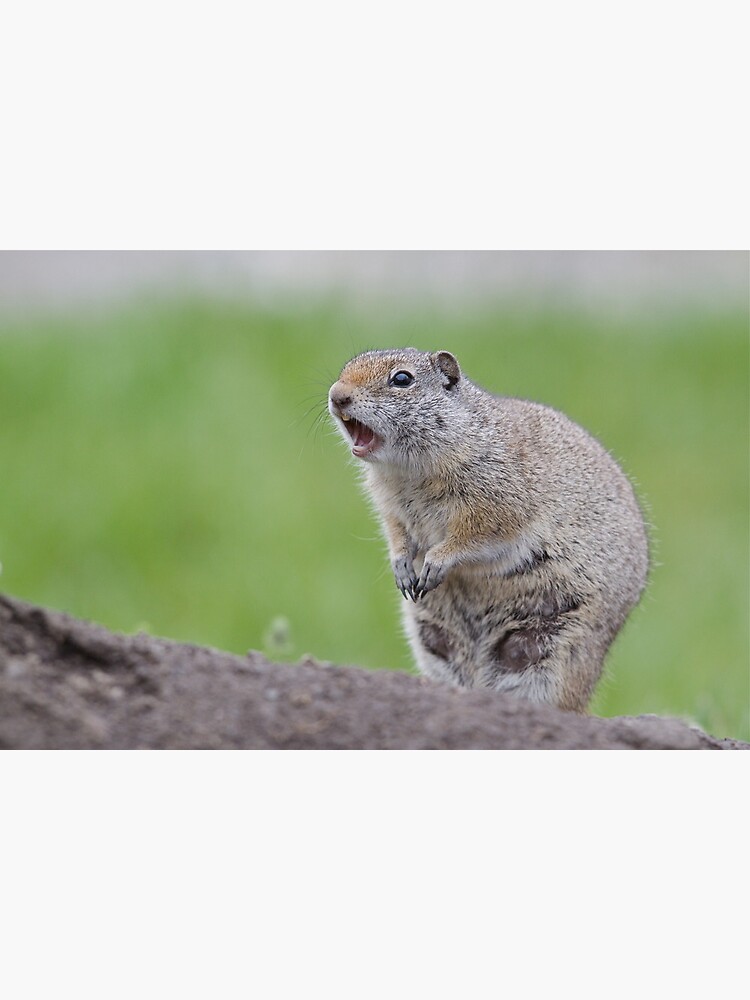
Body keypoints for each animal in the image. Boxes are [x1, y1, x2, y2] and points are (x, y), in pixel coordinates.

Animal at [328, 347, 649, 712]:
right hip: (434, 640)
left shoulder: (496, 504)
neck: (409, 471)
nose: (337, 395)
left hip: (558, 651)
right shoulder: (391, 510)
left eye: (402, 379)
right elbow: (397, 535)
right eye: (346, 367)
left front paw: (436, 562)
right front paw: (402, 568)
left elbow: (474, 538)